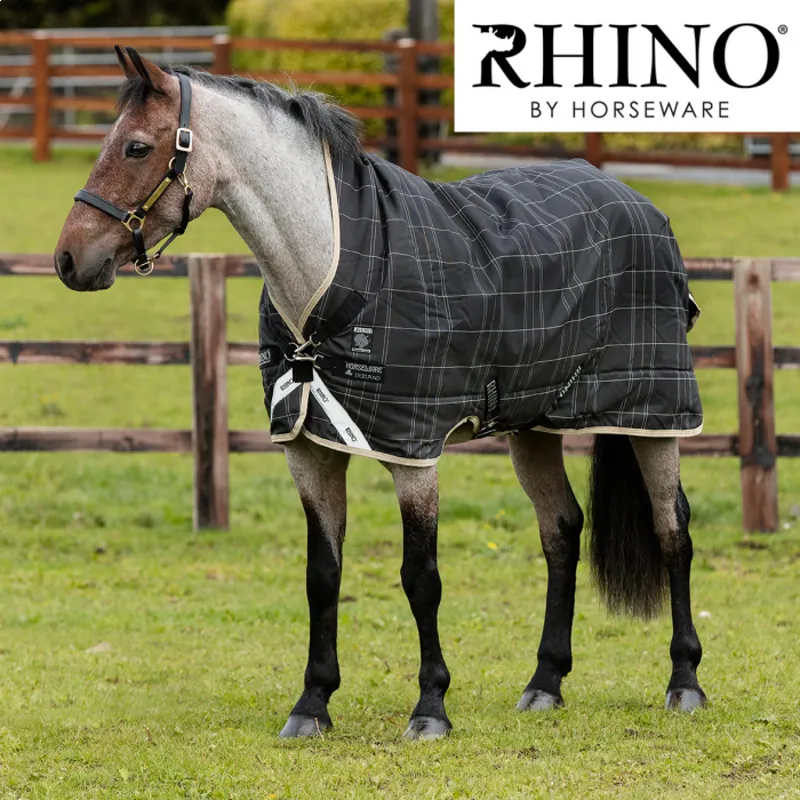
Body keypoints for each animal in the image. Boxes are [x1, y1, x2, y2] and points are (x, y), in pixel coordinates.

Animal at [54, 47, 707, 740]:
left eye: (136, 147)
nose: (69, 258)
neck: (332, 273)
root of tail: (637, 202)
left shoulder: (412, 452)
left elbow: (420, 578)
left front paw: (431, 709)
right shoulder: (309, 451)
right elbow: (322, 575)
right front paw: (312, 704)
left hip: (655, 415)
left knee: (673, 529)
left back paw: (685, 681)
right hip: (534, 425)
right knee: (561, 530)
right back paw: (545, 682)